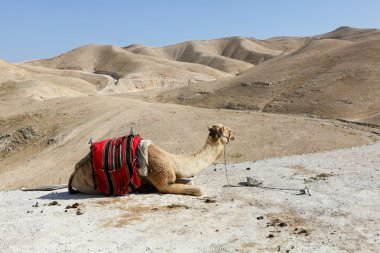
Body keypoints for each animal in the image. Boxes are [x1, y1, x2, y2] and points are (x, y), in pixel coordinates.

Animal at [68, 123, 235, 197]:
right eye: (227, 130)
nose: (235, 134)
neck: (172, 160)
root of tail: (74, 171)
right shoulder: (163, 181)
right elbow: (198, 189)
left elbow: (190, 182)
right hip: (88, 186)